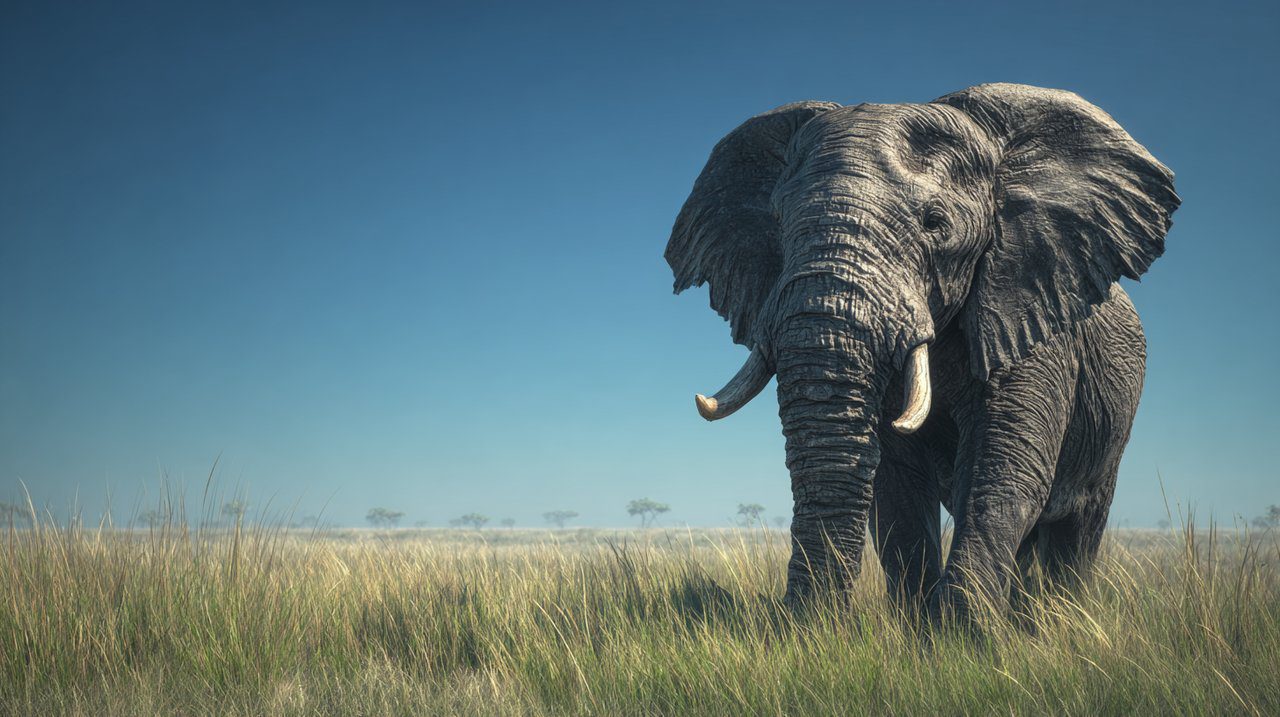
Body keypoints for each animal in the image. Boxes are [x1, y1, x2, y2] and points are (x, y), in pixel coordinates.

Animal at [664, 83, 1178, 618]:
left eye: (935, 223)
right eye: (779, 222)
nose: (806, 623)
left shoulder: (1027, 304)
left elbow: (1002, 462)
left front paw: (964, 631)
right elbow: (896, 485)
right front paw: (922, 627)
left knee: (1079, 528)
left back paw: (1057, 618)